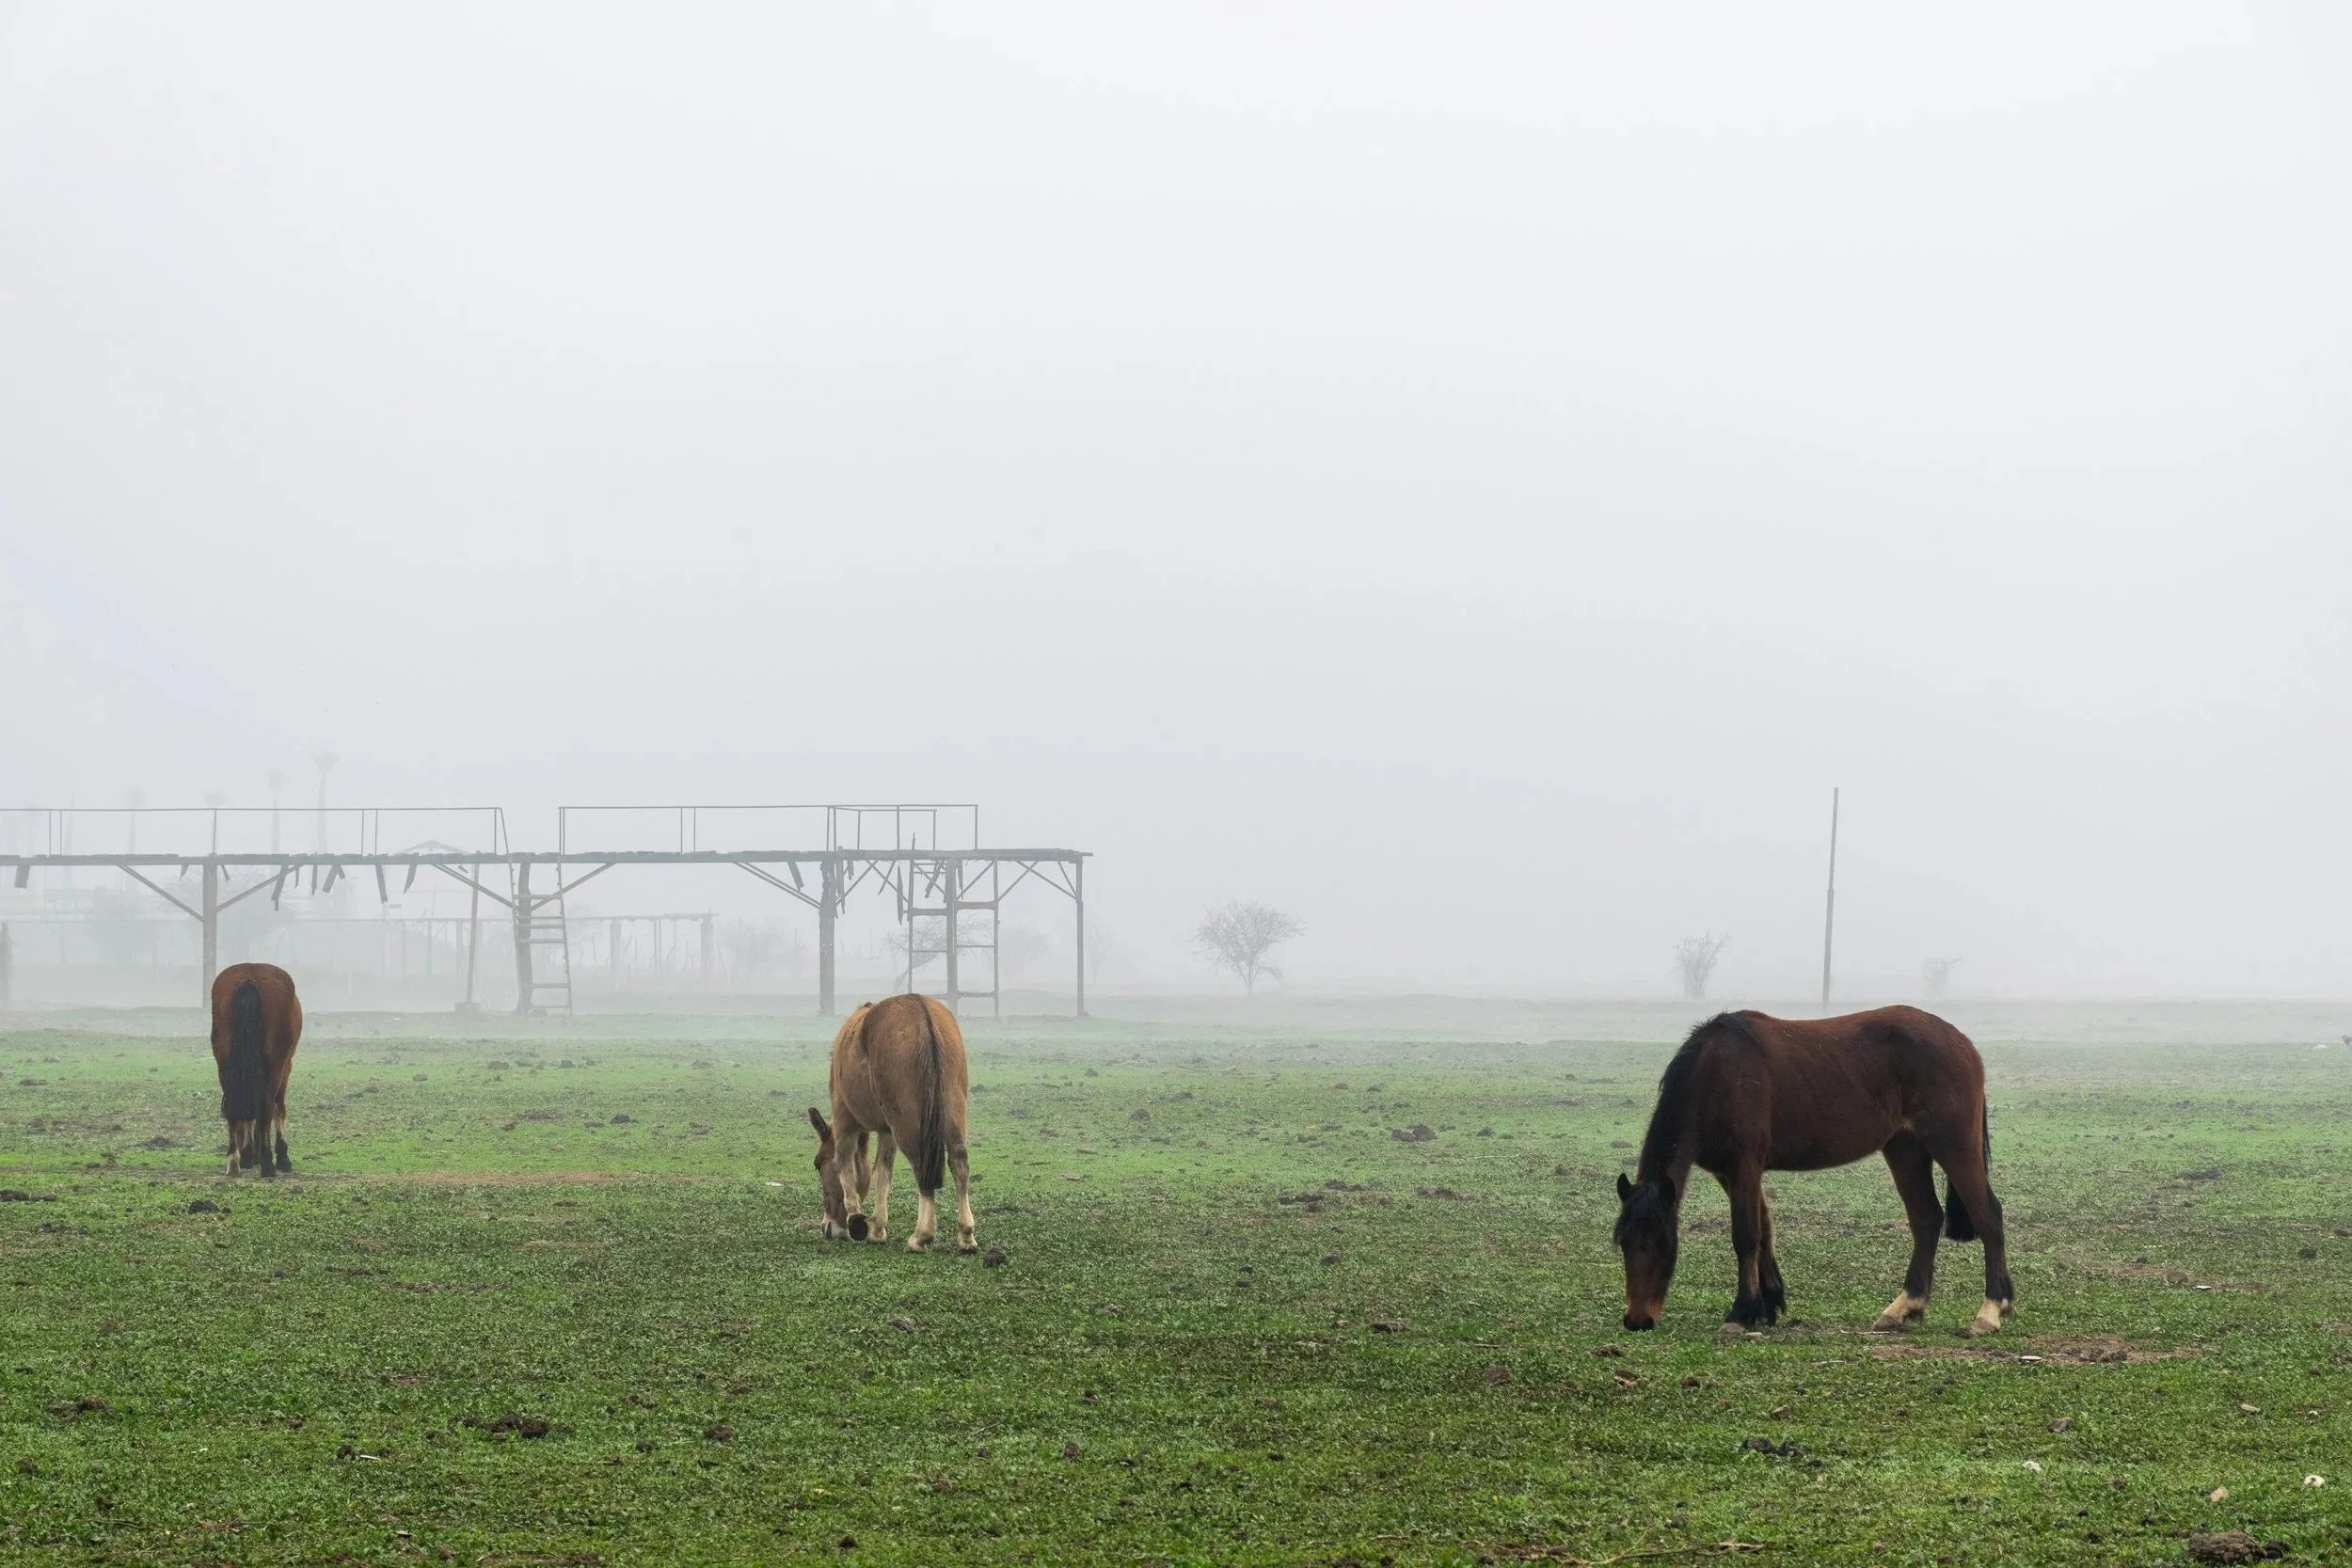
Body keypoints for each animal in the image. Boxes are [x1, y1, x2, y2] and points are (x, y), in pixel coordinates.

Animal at [209, 962, 304, 1178]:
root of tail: (249, 977)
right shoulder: (286, 1066)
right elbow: (278, 1108)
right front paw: (281, 1156)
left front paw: (248, 1153)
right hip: (275, 1065)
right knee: (267, 1104)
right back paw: (268, 1162)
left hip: (225, 1063)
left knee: (233, 1105)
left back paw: (233, 1160)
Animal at [806, 993, 976, 1253]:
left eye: (817, 1164)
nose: (828, 1226)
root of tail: (922, 1013)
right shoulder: (887, 1131)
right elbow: (882, 1174)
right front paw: (877, 1229)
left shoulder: (845, 1118)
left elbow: (844, 1164)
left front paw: (855, 1219)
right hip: (951, 1111)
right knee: (959, 1163)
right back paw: (966, 1235)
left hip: (907, 1124)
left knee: (921, 1166)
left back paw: (921, 1236)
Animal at [1612, 1006, 2012, 1337]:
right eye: (1624, 1242)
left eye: (1660, 1243)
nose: (1637, 1320)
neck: (1715, 1076)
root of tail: (1961, 1042)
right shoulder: (1729, 1172)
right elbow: (1764, 1231)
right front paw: (1768, 1303)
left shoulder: (1745, 1165)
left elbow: (1745, 1235)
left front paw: (1741, 1312)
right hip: (1904, 1148)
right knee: (1926, 1219)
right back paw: (1904, 1307)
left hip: (1952, 1145)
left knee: (1987, 1215)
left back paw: (1991, 1311)